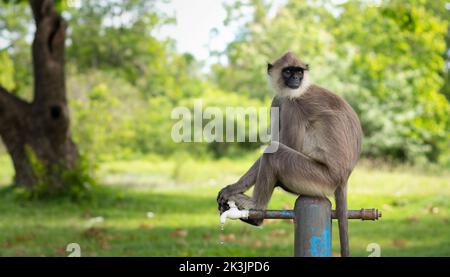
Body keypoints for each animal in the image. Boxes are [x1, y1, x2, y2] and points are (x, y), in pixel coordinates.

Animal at [217, 50, 362, 256]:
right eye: (288, 71)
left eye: (298, 72)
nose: (295, 78)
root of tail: (343, 178)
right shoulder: (278, 100)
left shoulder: (293, 105)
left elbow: (283, 145)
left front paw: (235, 190)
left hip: (319, 177)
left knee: (274, 154)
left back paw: (256, 209)